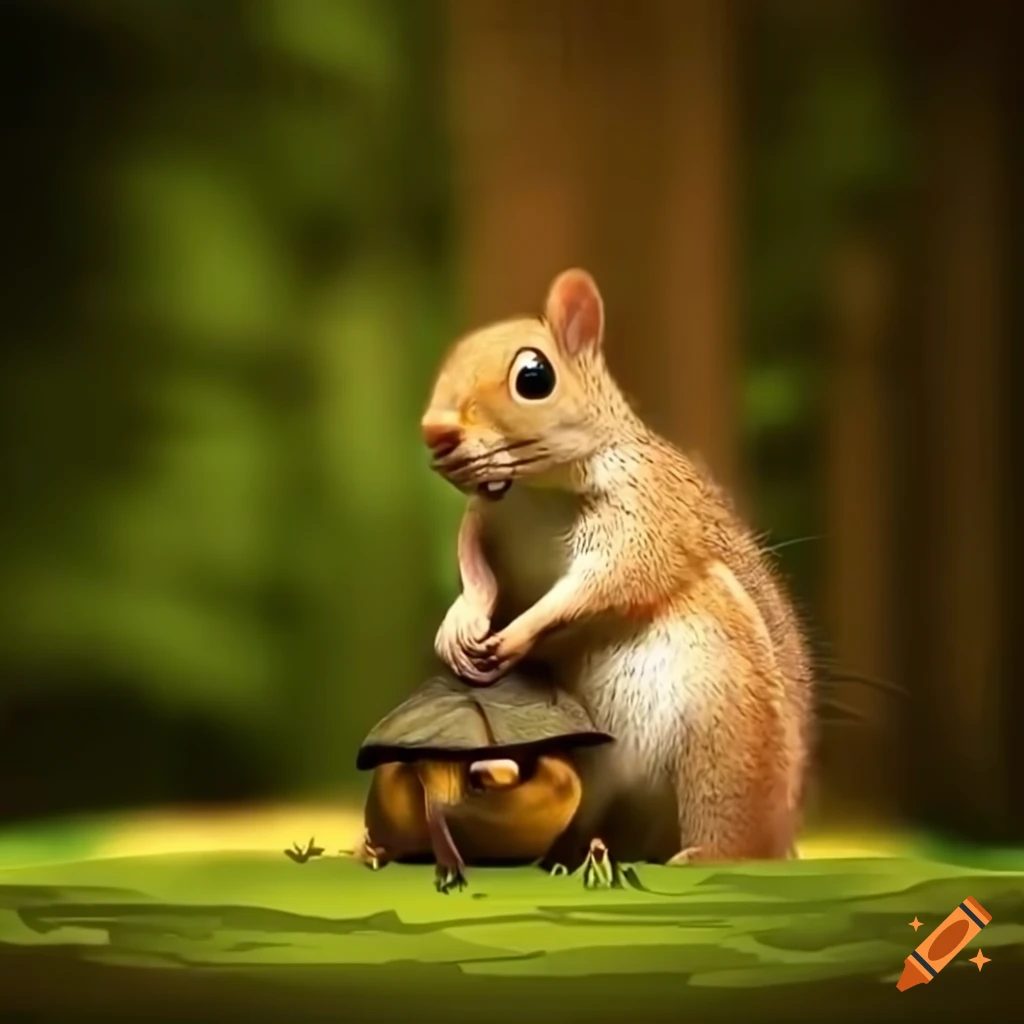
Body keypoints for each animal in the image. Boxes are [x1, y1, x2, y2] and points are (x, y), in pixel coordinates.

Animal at [421, 268, 813, 868]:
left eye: (534, 376)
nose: (433, 430)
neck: (536, 491)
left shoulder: (642, 515)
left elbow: (604, 582)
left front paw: (517, 634)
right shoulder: (487, 520)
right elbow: (474, 565)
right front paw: (460, 624)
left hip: (725, 740)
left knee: (729, 830)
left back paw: (700, 857)